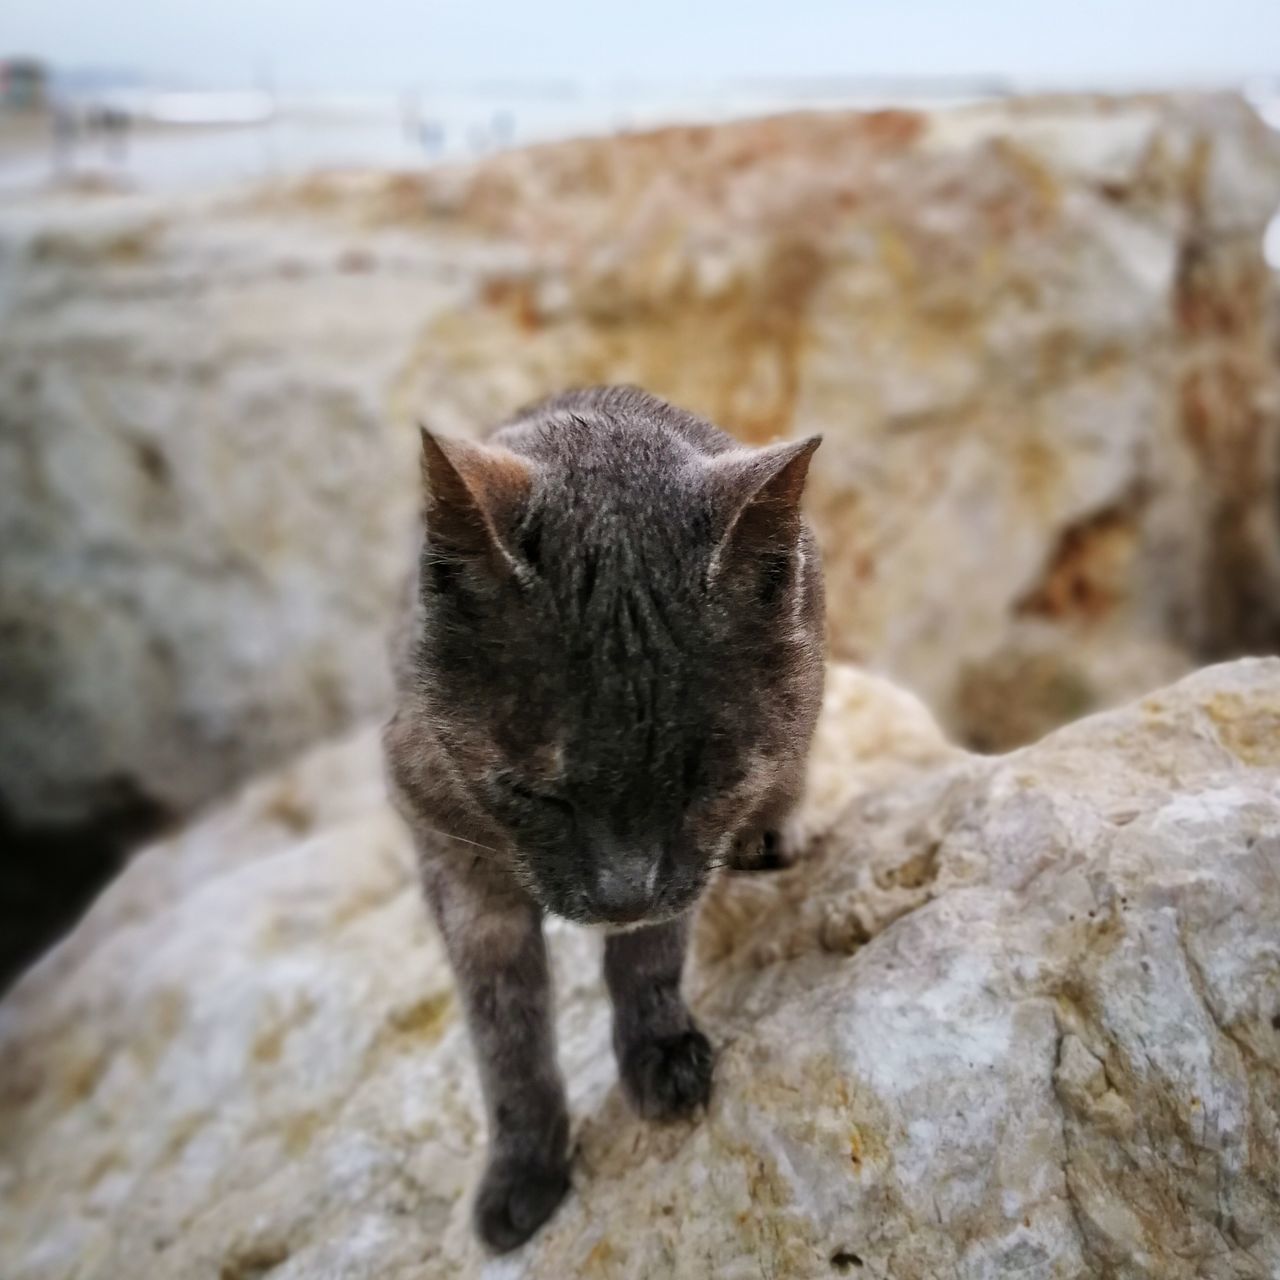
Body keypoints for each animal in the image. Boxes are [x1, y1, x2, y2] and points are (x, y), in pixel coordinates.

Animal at [378, 386, 824, 1249]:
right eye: (534, 793)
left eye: (703, 783)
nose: (622, 893)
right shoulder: (454, 865)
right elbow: (504, 1034)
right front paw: (523, 1173)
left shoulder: (686, 863)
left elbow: (647, 956)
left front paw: (662, 1058)